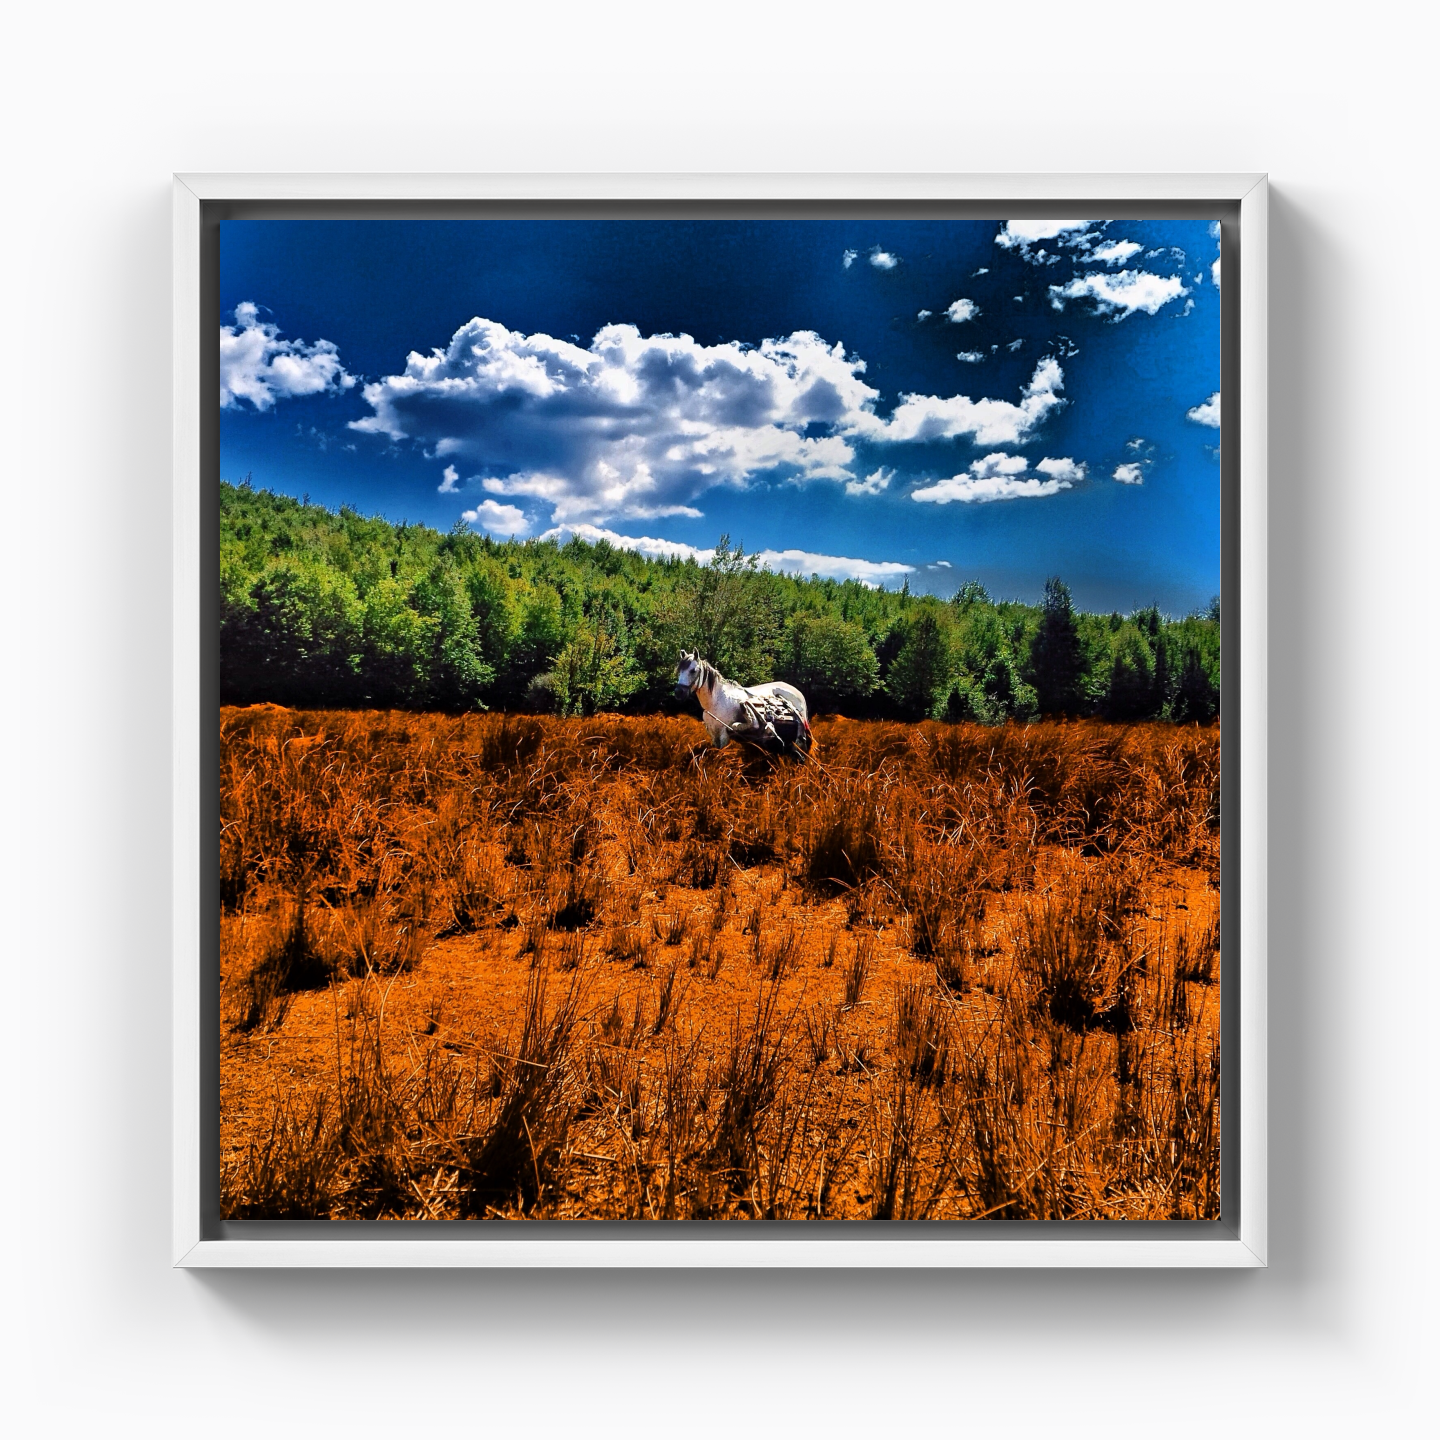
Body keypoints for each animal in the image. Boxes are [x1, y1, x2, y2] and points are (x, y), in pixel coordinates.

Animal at [674, 650, 814, 760]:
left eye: (693, 670)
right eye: (679, 670)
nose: (678, 692)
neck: (716, 701)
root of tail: (797, 691)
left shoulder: (724, 734)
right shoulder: (713, 734)